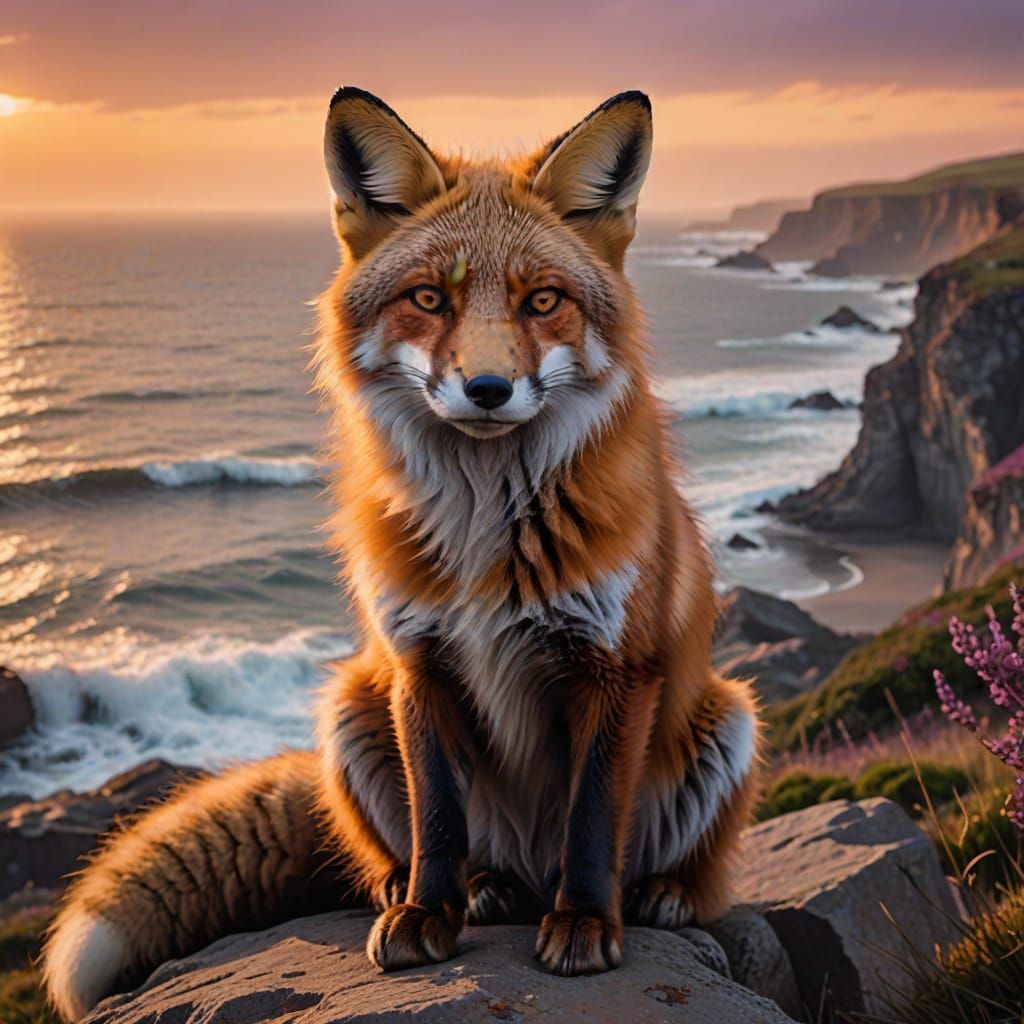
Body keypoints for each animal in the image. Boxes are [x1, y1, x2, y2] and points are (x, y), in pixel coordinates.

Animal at [42, 87, 761, 1021]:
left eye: (542, 302)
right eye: (428, 298)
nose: (487, 389)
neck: (487, 535)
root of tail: (527, 867)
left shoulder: (615, 667)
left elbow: (594, 819)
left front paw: (584, 924)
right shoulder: (417, 659)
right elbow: (438, 818)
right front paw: (429, 914)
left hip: (729, 716)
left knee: (685, 871)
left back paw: (658, 894)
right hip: (352, 700)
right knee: (421, 850)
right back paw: (458, 889)